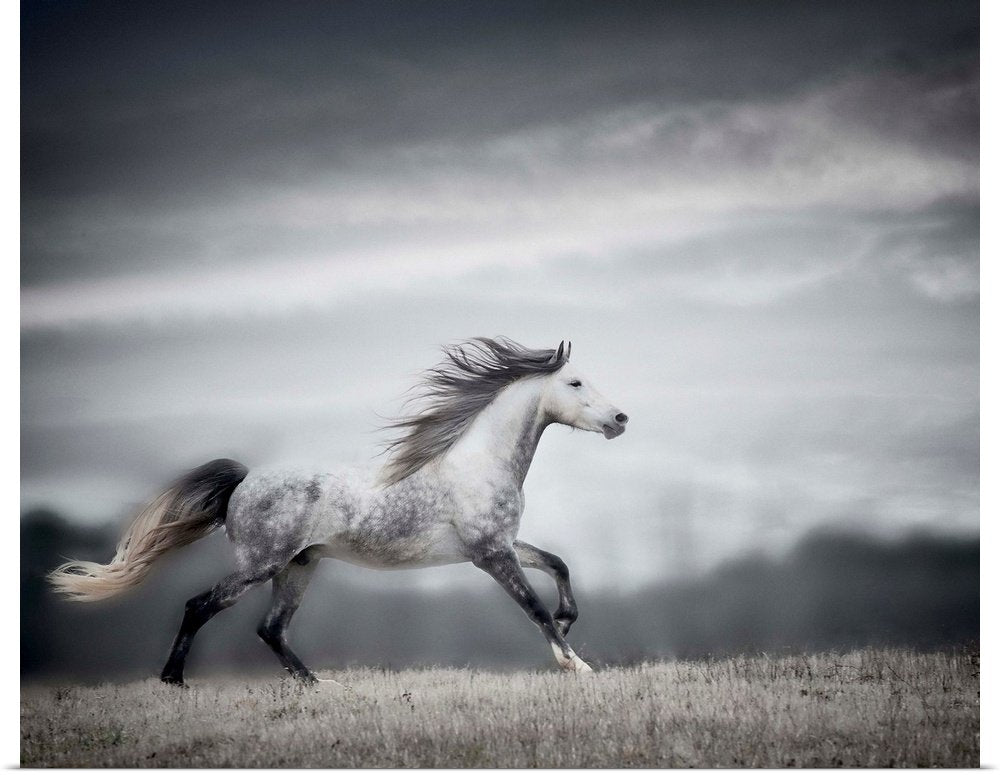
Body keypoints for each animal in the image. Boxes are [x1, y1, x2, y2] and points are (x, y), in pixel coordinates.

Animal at [49, 337, 629, 684]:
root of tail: (244, 482)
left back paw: (315, 685)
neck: (477, 463)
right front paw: (576, 665)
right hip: (259, 566)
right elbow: (532, 607)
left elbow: (558, 564)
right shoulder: (490, 554)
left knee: (271, 629)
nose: (620, 419)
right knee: (201, 606)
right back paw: (174, 681)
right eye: (575, 382)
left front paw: (569, 623)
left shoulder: (500, 546)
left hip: (298, 567)